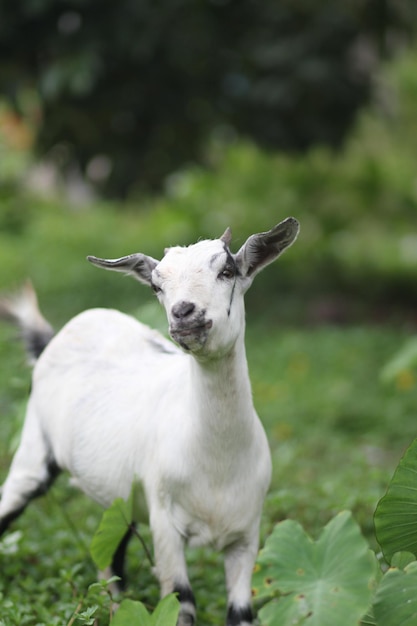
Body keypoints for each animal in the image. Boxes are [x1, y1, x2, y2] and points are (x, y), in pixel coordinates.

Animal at [0, 217, 300, 620]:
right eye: (157, 286)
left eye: (227, 271)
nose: (184, 312)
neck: (217, 464)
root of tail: (56, 336)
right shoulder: (165, 521)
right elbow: (180, 600)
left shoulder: (247, 534)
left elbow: (240, 612)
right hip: (33, 449)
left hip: (122, 498)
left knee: (112, 553)